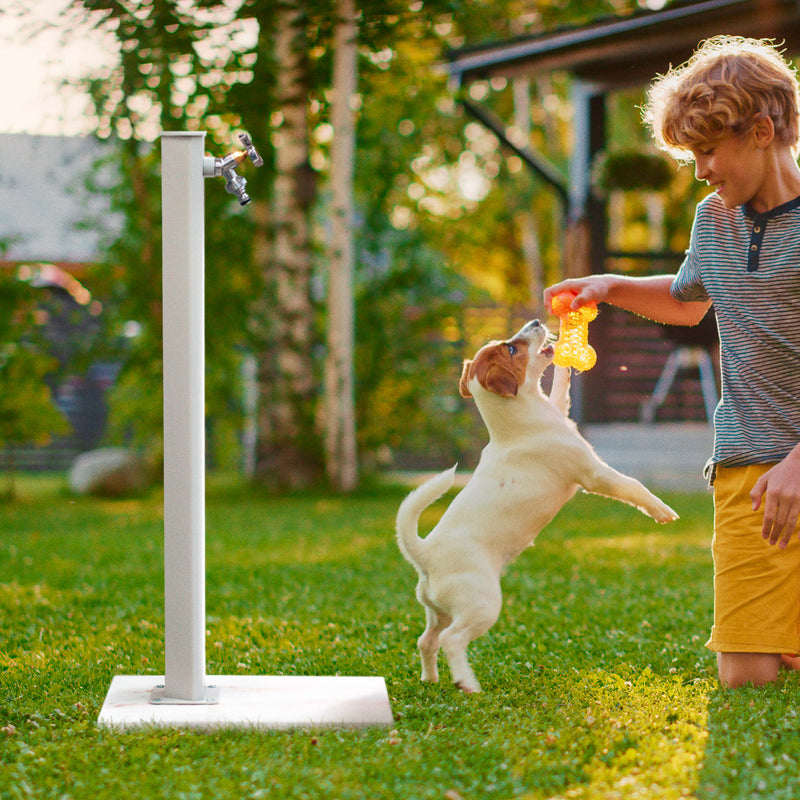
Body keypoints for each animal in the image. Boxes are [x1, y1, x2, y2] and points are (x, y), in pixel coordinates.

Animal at [396, 318, 680, 692]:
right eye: (511, 348)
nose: (535, 321)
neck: (518, 420)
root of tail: (426, 554)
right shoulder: (593, 474)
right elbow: (633, 486)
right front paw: (662, 510)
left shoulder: (560, 409)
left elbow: (560, 388)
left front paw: (566, 359)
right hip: (482, 606)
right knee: (451, 641)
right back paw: (468, 684)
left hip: (438, 612)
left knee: (426, 641)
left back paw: (430, 679)